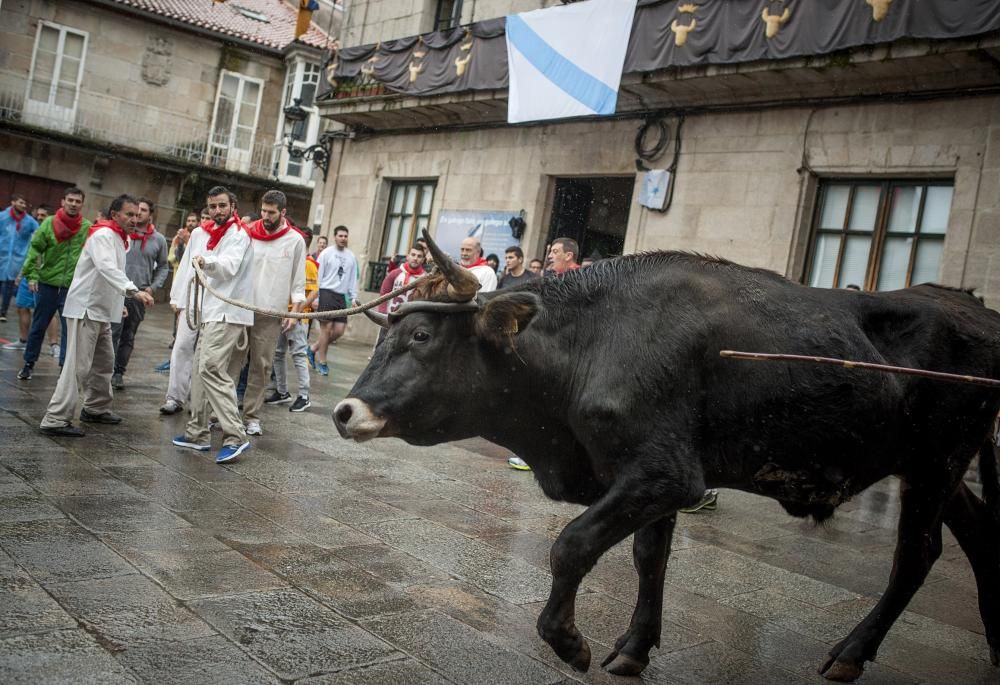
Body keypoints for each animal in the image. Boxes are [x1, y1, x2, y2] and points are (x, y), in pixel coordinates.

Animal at [336, 254, 1000, 680]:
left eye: (422, 335)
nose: (345, 411)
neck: (591, 342)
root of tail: (971, 304)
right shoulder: (645, 478)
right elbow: (648, 558)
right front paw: (634, 648)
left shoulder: (666, 474)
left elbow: (572, 546)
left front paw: (570, 641)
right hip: (933, 466)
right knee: (976, 530)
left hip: (938, 461)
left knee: (917, 554)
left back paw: (850, 654)